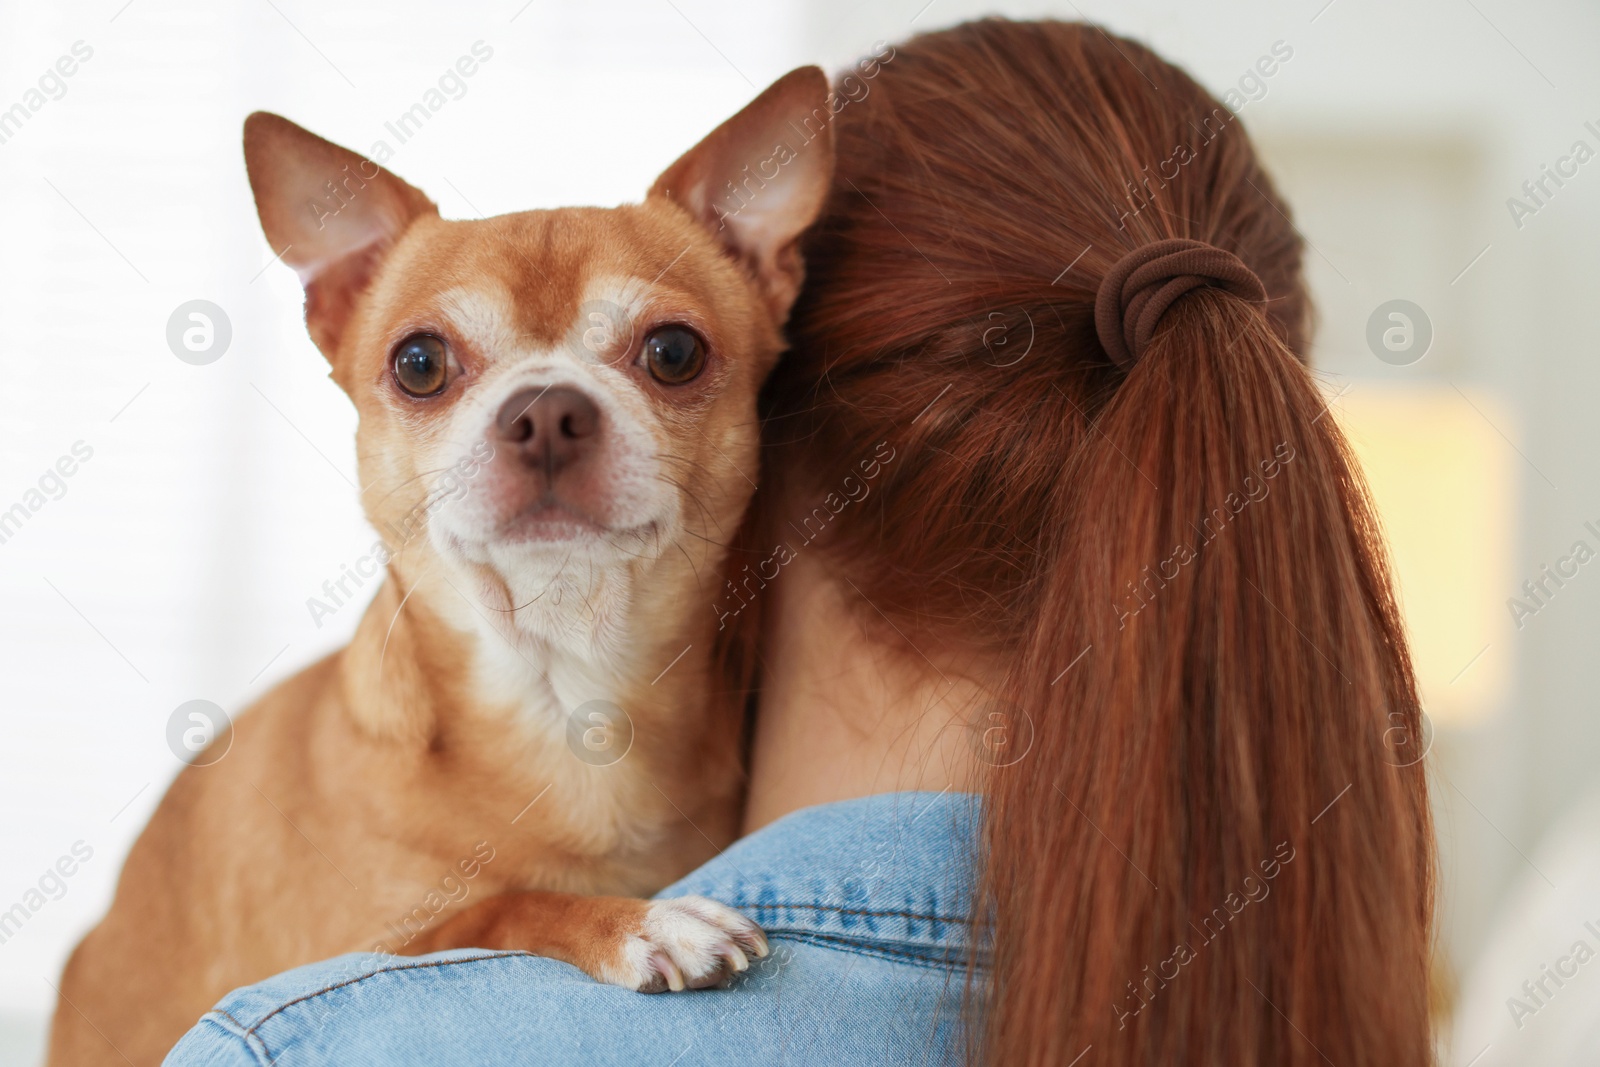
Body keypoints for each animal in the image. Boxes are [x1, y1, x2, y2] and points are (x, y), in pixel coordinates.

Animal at [43, 68, 832, 1067]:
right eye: (419, 363)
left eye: (674, 352)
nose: (546, 410)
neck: (564, 690)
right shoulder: (365, 940)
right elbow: (493, 908)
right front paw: (642, 921)